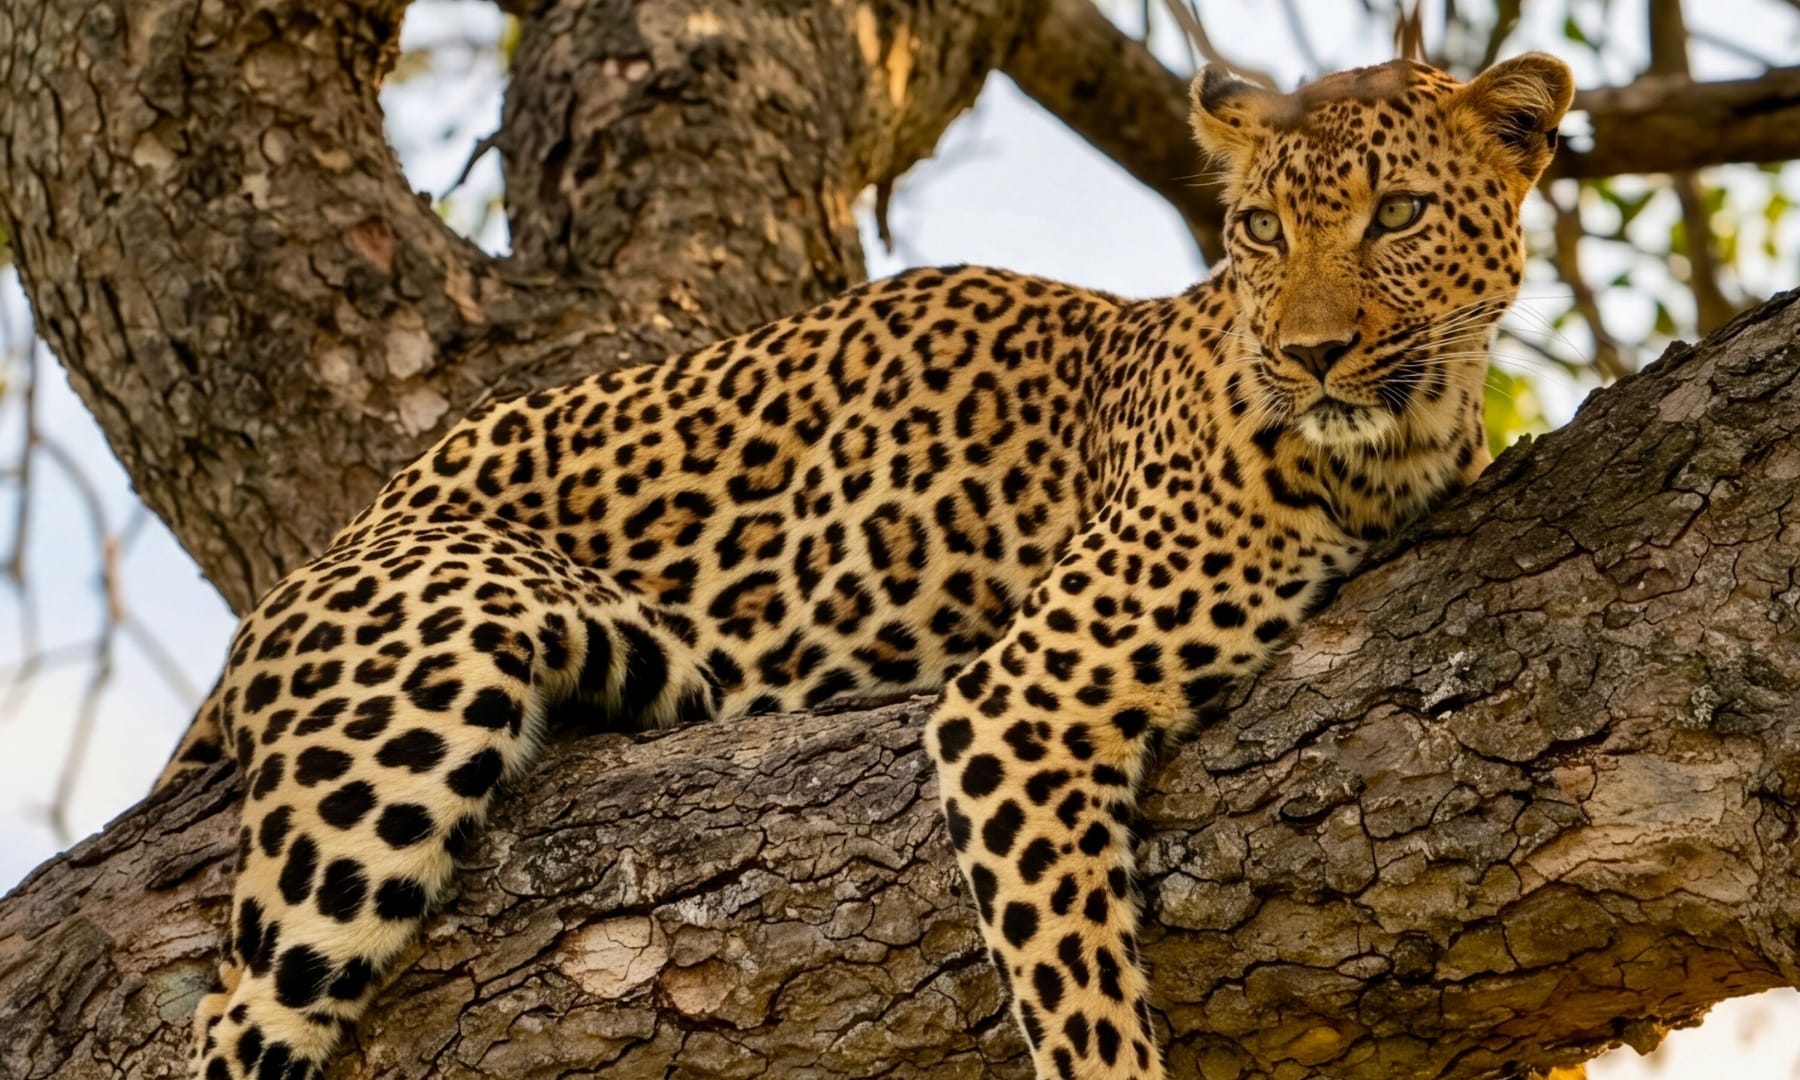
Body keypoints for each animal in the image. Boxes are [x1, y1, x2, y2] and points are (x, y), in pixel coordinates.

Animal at [159, 52, 1574, 1080]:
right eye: (1263, 229)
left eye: (1399, 216)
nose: (1310, 353)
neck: (1391, 452)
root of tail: (344, 535)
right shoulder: (1017, 707)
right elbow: (1081, 998)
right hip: (405, 722)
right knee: (237, 1021)